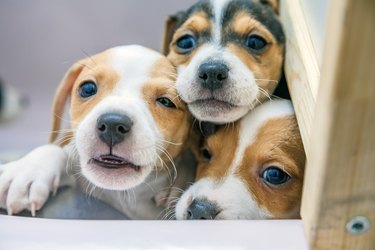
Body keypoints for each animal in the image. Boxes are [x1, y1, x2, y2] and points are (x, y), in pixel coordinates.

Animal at [0, 45, 195, 219]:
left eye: (166, 102)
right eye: (88, 88)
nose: (113, 124)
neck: (124, 194)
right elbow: (56, 150)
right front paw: (27, 172)